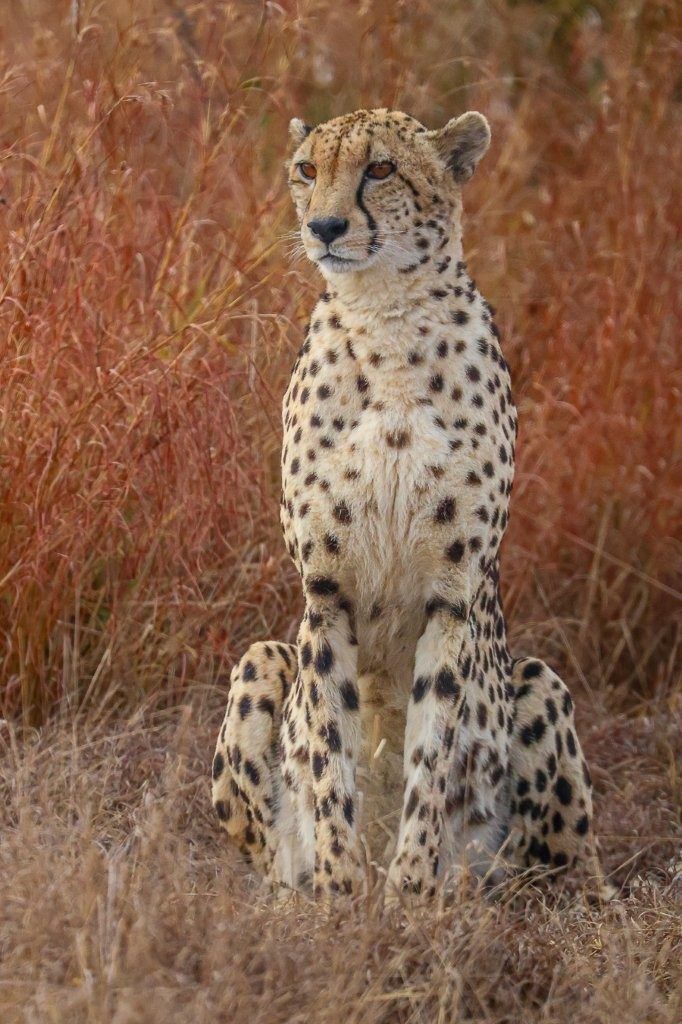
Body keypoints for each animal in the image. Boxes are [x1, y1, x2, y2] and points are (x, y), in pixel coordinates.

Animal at [211, 108, 598, 900]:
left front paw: (411, 893)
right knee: (268, 847)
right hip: (261, 659)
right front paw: (339, 891)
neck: (384, 316)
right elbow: (328, 751)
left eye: (381, 169)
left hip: (537, 685)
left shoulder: (452, 594)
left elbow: (433, 752)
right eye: (307, 169)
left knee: (562, 864)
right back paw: (293, 895)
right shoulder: (325, 592)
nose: (326, 226)